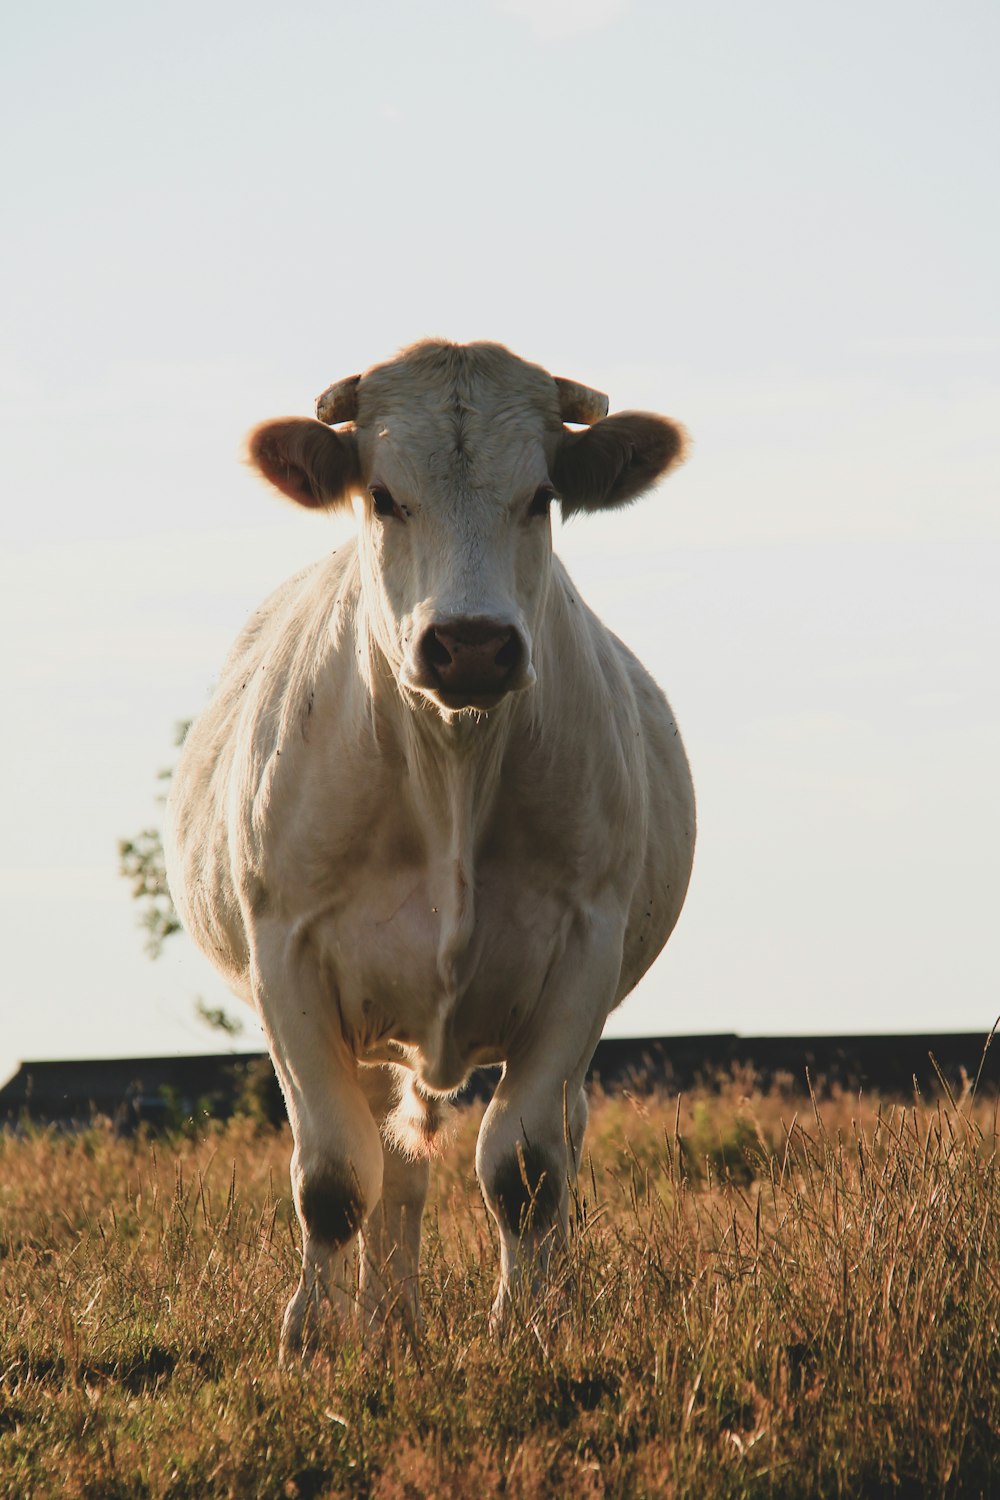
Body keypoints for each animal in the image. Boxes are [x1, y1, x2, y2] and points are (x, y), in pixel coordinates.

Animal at [164, 340, 695, 1362]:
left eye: (541, 496)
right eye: (383, 496)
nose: (472, 646)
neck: (452, 766)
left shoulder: (585, 950)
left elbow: (525, 1171)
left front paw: (526, 1331)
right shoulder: (287, 956)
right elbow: (336, 1177)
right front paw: (311, 1341)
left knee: (551, 1141)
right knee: (393, 1166)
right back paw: (388, 1319)